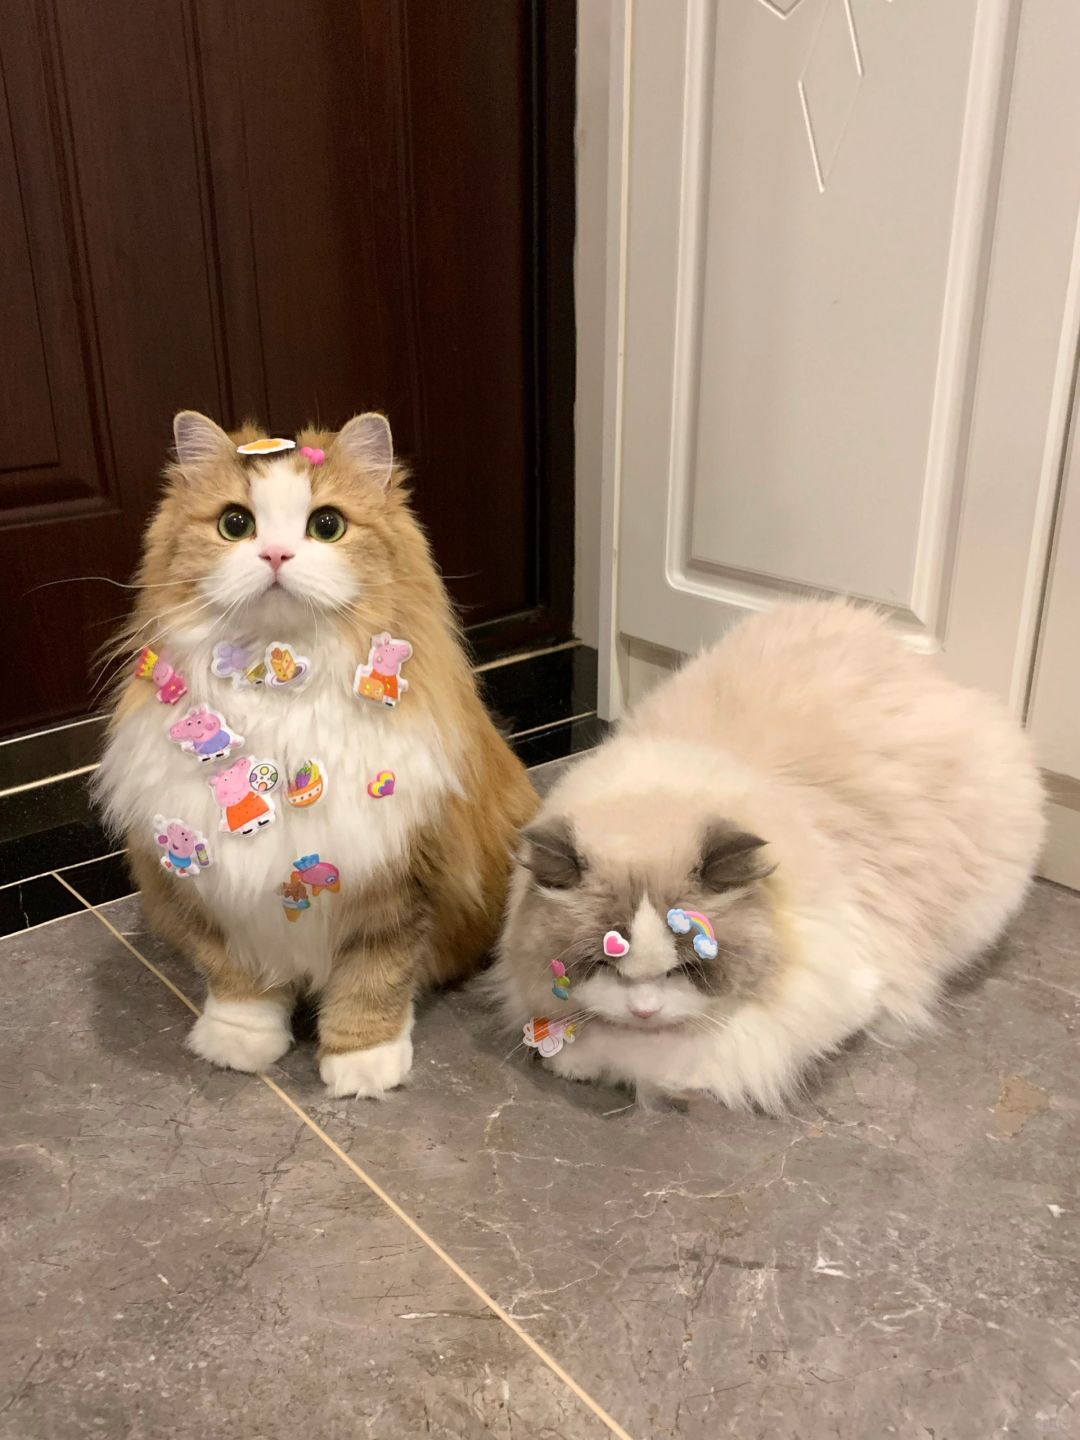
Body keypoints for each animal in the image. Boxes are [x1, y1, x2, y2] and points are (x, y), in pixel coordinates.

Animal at [96, 410, 537, 1097]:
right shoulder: (217, 891)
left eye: (326, 525)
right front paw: (240, 1041)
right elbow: (236, 979)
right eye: (235, 524)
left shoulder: (398, 881)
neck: (279, 689)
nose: (276, 554)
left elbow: (373, 982)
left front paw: (361, 1064)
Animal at [491, 601, 1045, 1110]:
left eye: (687, 968)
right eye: (602, 964)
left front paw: (584, 1060)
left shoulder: (797, 1010)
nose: (644, 1010)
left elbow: (647, 1056)